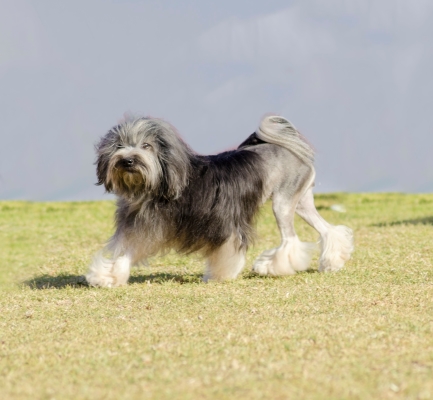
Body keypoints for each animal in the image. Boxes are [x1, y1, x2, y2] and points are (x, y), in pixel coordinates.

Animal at [86, 114, 352, 286]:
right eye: (119, 145)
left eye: (146, 145)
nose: (128, 160)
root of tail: (289, 146)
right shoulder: (142, 226)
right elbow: (126, 252)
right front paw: (108, 276)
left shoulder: (224, 224)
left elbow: (227, 249)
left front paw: (220, 275)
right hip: (301, 202)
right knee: (328, 229)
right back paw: (332, 262)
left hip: (283, 202)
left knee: (290, 239)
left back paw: (269, 267)